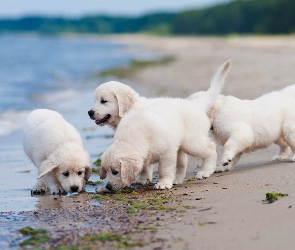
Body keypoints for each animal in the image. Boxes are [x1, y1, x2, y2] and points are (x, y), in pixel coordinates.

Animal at [97, 60, 231, 191]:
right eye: (106, 171)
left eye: (115, 172)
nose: (108, 187)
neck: (136, 136)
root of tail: (195, 104)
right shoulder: (146, 154)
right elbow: (145, 167)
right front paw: (144, 179)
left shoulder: (167, 153)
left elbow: (164, 169)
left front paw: (163, 183)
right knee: (183, 162)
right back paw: (177, 179)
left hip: (191, 142)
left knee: (210, 148)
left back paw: (205, 171)